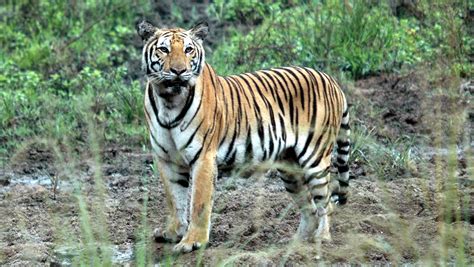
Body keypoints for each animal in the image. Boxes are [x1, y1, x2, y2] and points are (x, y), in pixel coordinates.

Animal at [135, 20, 350, 253]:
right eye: (164, 50)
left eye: (188, 50)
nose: (178, 71)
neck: (168, 100)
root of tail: (330, 79)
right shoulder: (167, 159)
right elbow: (174, 200)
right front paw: (173, 232)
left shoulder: (203, 158)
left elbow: (199, 203)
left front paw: (192, 241)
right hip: (290, 169)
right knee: (309, 209)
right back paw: (292, 245)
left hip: (315, 158)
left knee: (326, 202)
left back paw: (322, 238)